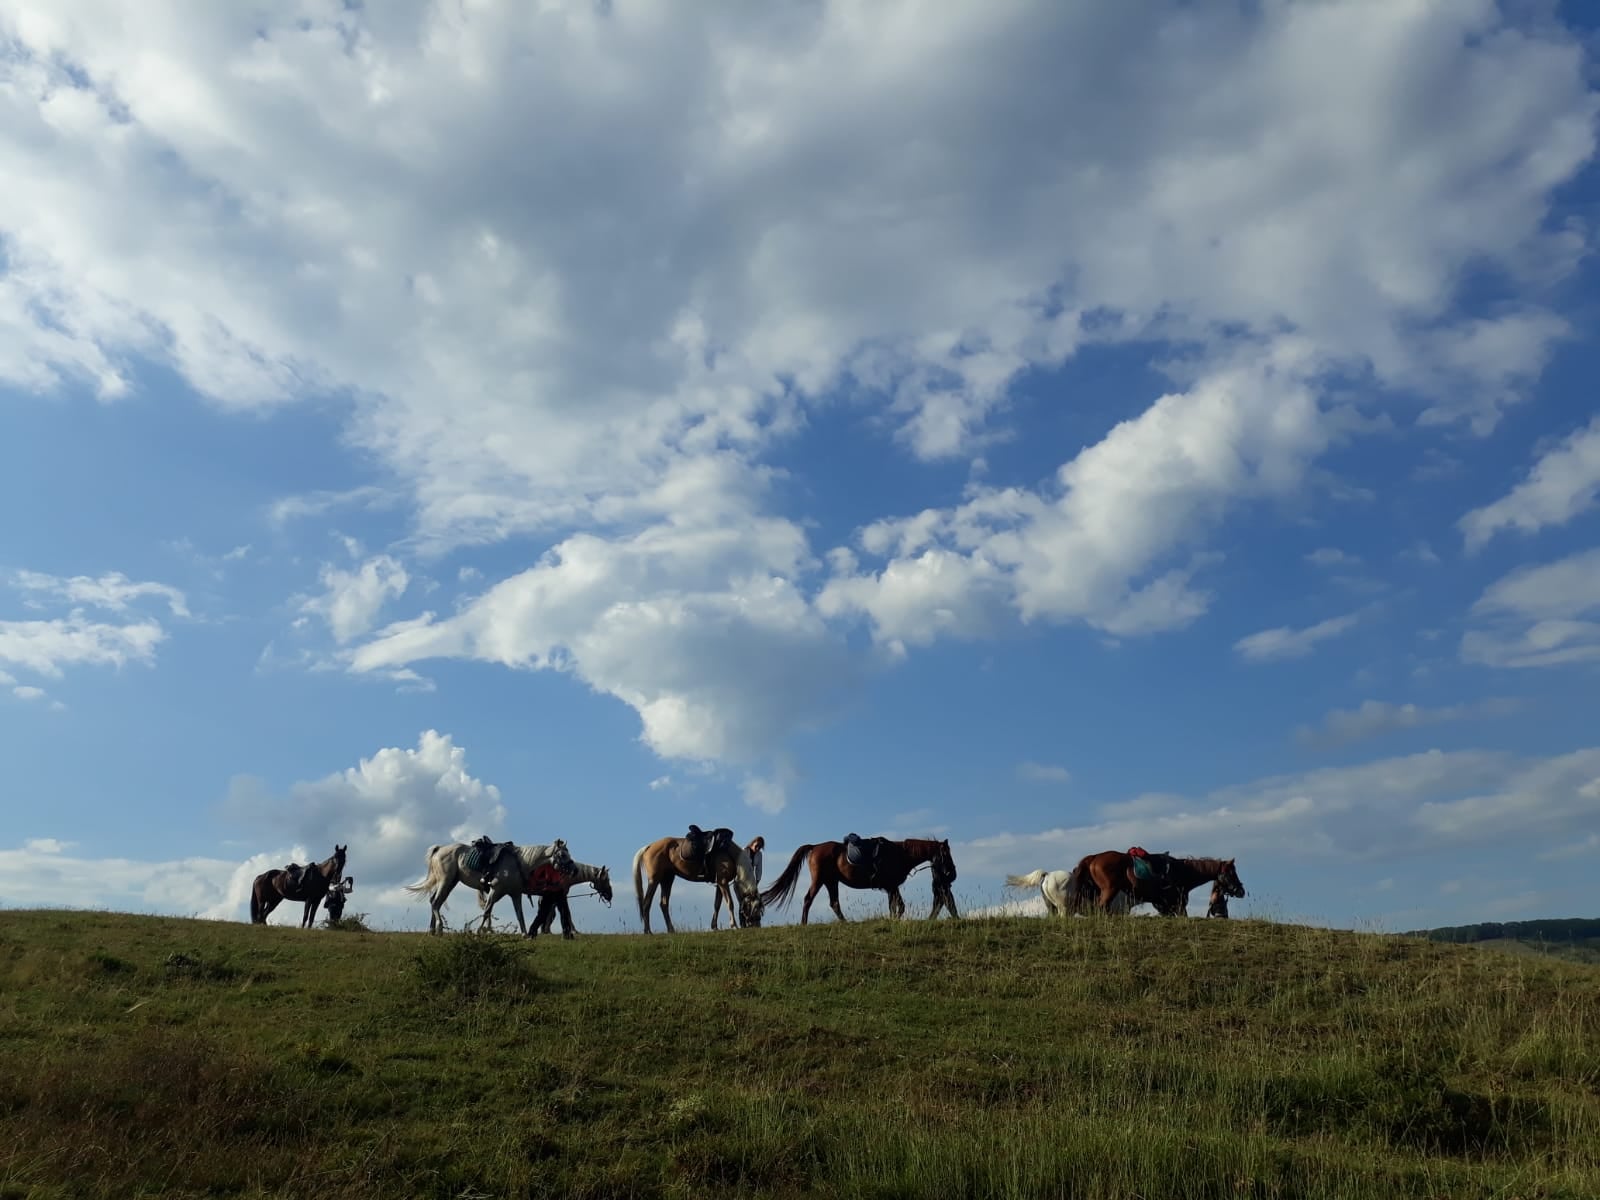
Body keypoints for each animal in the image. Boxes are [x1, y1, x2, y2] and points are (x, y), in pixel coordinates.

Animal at [403, 838, 575, 935]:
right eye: (563, 855)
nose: (574, 869)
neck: (520, 862)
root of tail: (439, 849)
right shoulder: (495, 891)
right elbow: (486, 911)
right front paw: (480, 931)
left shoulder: (515, 894)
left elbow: (519, 914)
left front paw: (525, 934)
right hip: (446, 881)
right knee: (435, 902)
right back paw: (439, 928)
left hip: (450, 883)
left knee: (435, 902)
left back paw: (432, 930)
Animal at [631, 834, 764, 934]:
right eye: (754, 907)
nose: (757, 925)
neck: (730, 854)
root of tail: (649, 846)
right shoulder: (723, 883)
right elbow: (729, 903)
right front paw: (734, 925)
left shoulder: (720, 885)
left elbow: (717, 904)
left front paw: (714, 926)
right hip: (654, 880)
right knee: (646, 903)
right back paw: (648, 931)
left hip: (667, 880)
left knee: (664, 904)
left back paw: (671, 930)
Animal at [759, 837, 958, 925]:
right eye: (946, 854)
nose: (953, 874)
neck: (901, 854)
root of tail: (815, 847)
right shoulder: (892, 886)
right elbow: (899, 907)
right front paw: (894, 920)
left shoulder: (890, 887)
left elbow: (894, 906)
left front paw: (892, 919)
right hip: (820, 880)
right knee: (808, 899)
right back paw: (804, 923)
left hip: (831, 881)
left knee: (834, 903)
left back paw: (845, 922)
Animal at [1068, 851, 1244, 916]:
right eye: (1231, 873)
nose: (1241, 891)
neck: (1182, 872)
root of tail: (1094, 857)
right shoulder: (1178, 905)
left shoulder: (1165, 907)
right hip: (1109, 889)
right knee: (1102, 907)